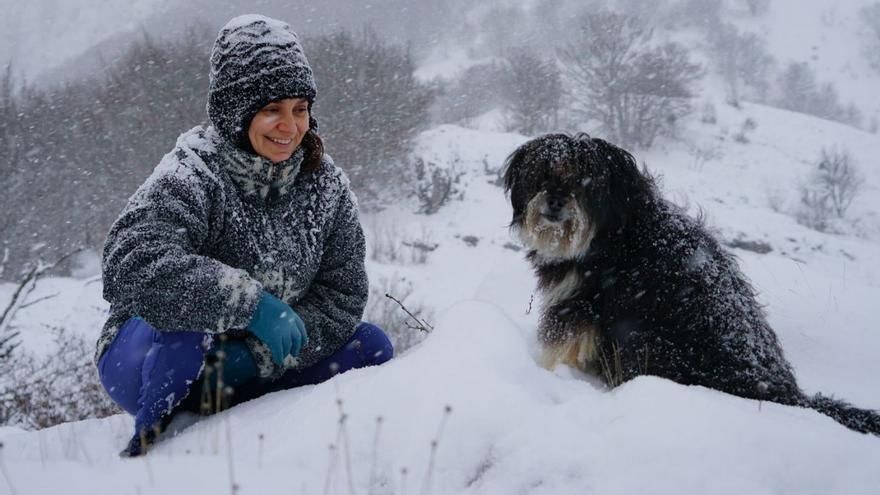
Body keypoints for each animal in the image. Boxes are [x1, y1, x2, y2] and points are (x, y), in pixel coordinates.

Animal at [502, 134, 880, 436]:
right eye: (542, 175)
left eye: (584, 182)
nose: (554, 201)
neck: (615, 232)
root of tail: (787, 396)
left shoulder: (581, 305)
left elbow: (558, 347)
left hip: (645, 340)